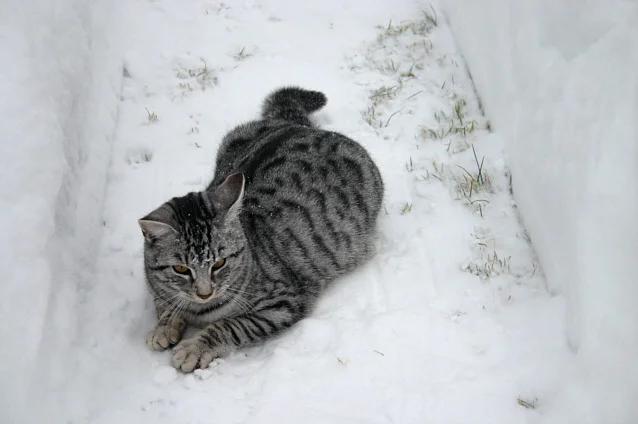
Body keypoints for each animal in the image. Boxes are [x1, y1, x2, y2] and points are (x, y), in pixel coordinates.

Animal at [139, 87, 384, 372]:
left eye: (220, 263)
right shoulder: (157, 284)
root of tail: (299, 126)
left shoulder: (283, 303)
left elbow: (230, 326)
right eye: (180, 268)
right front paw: (164, 326)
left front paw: (194, 347)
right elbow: (164, 302)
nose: (204, 293)